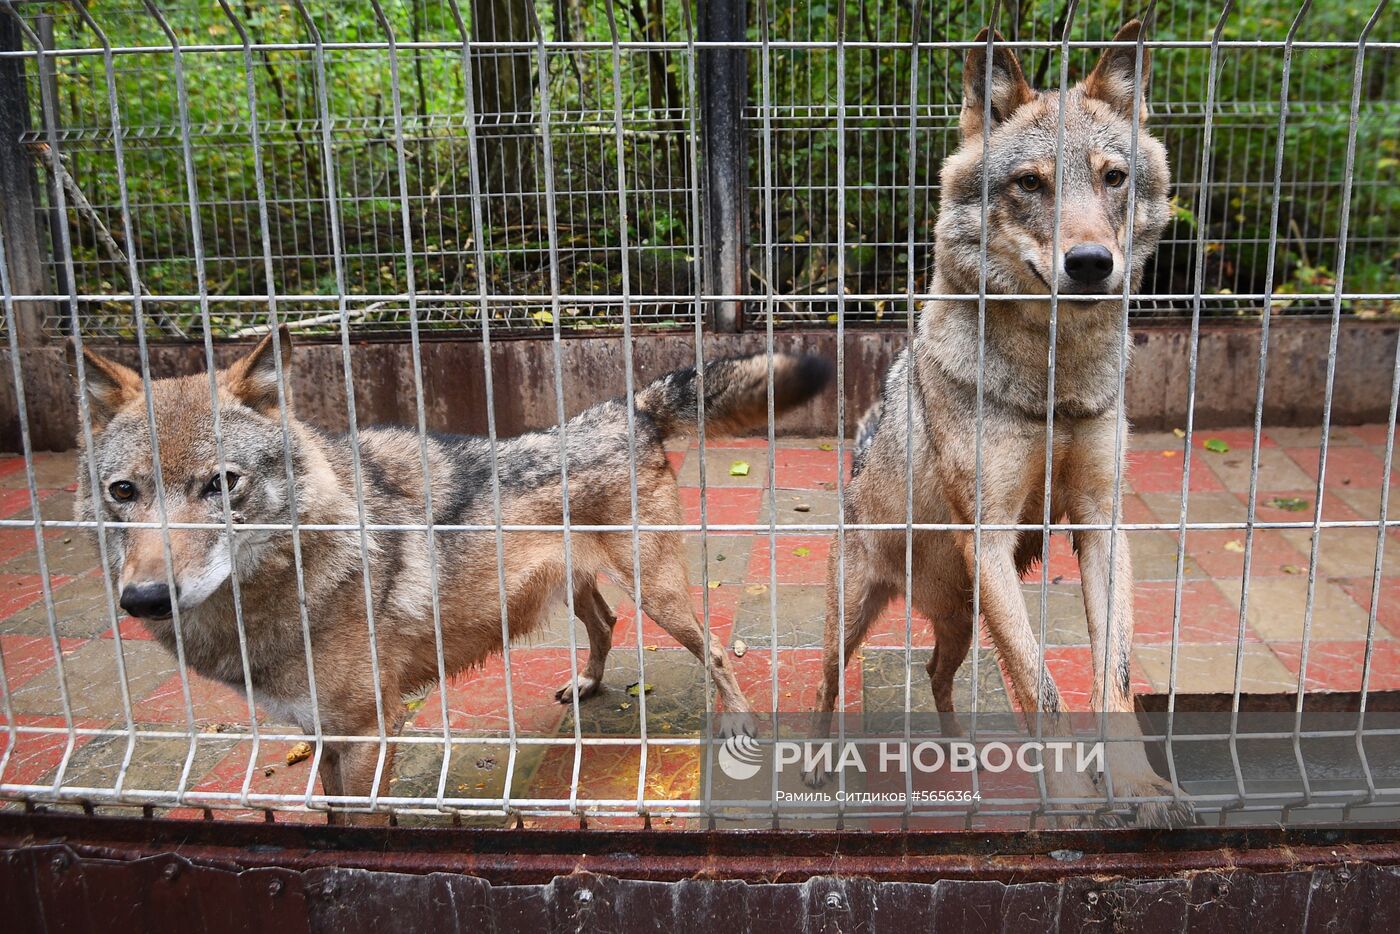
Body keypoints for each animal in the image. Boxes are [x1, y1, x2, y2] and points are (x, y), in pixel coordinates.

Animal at [76, 331, 828, 823]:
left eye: (223, 483)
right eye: (123, 492)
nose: (144, 598)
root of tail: (625, 408)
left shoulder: (367, 733)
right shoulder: (320, 734)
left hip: (660, 593)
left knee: (717, 651)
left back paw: (739, 724)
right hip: (579, 588)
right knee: (607, 625)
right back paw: (588, 685)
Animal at [806, 20, 1187, 823]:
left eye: (1113, 177)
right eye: (1030, 184)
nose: (1090, 262)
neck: (1053, 385)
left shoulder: (1100, 526)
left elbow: (1113, 682)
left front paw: (1139, 789)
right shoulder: (990, 535)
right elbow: (1041, 690)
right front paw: (1072, 801)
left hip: (961, 620)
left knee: (934, 673)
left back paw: (958, 755)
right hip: (849, 622)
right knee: (826, 687)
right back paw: (823, 763)